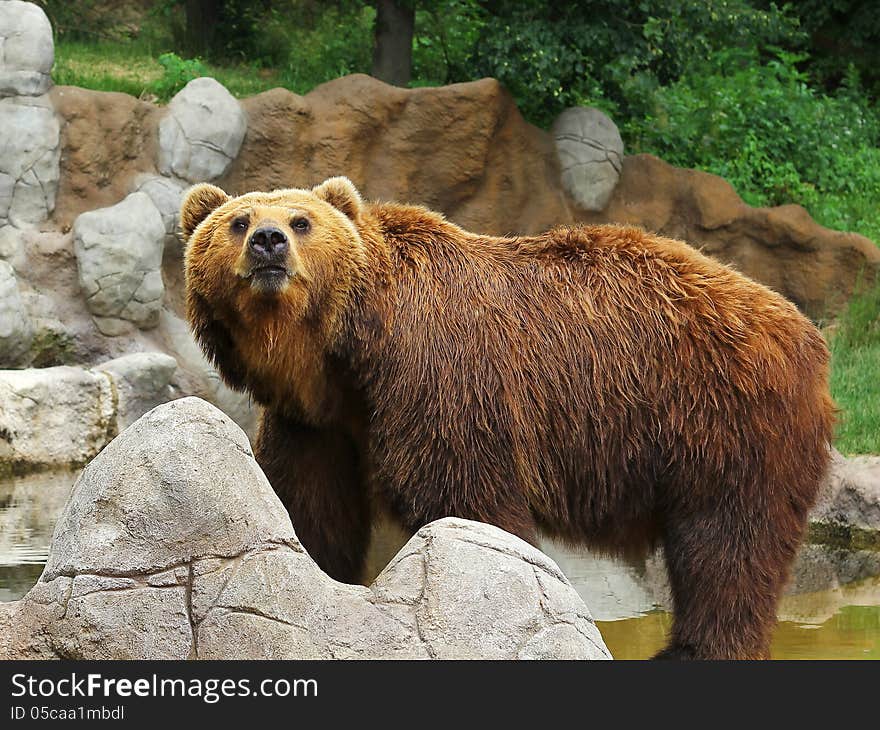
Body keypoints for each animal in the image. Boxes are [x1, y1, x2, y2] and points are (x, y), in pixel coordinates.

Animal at [182, 173, 836, 656]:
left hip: (723, 416)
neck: (345, 350)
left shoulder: (440, 378)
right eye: (238, 220)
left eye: (302, 220)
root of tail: (805, 331)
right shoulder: (318, 424)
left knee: (728, 546)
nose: (268, 241)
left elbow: (468, 498)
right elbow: (309, 504)